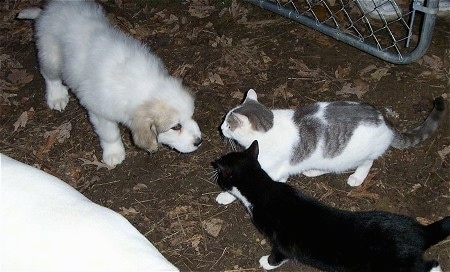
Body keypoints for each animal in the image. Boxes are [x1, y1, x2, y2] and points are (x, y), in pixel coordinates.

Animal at [17, 0, 200, 167]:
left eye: (191, 115)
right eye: (176, 127)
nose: (199, 141)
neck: (144, 86)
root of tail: (47, 11)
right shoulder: (100, 113)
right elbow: (110, 134)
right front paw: (114, 154)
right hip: (51, 57)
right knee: (49, 76)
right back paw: (56, 97)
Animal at [212, 140, 450, 272]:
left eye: (221, 176)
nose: (214, 164)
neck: (264, 188)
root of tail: (420, 231)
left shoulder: (282, 242)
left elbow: (278, 255)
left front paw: (266, 262)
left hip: (398, 265)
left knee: (430, 265)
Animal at [218, 89, 446, 204]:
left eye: (229, 125)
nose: (220, 127)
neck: (269, 127)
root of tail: (385, 121)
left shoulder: (272, 170)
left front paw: (226, 196)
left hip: (355, 156)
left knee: (367, 162)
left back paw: (357, 177)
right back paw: (313, 171)